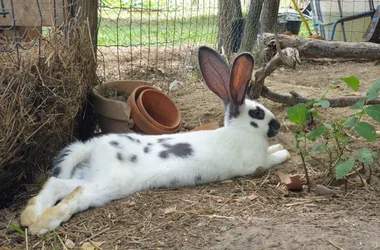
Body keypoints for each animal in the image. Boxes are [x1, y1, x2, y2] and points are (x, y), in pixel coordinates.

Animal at [19, 46, 290, 235]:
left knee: (56, 183)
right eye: (257, 113)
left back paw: (28, 217)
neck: (240, 131)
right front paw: (284, 152)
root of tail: (92, 147)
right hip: (107, 184)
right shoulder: (256, 163)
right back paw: (40, 225)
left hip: (88, 175)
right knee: (76, 194)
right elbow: (272, 158)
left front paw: (279, 145)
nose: (277, 126)